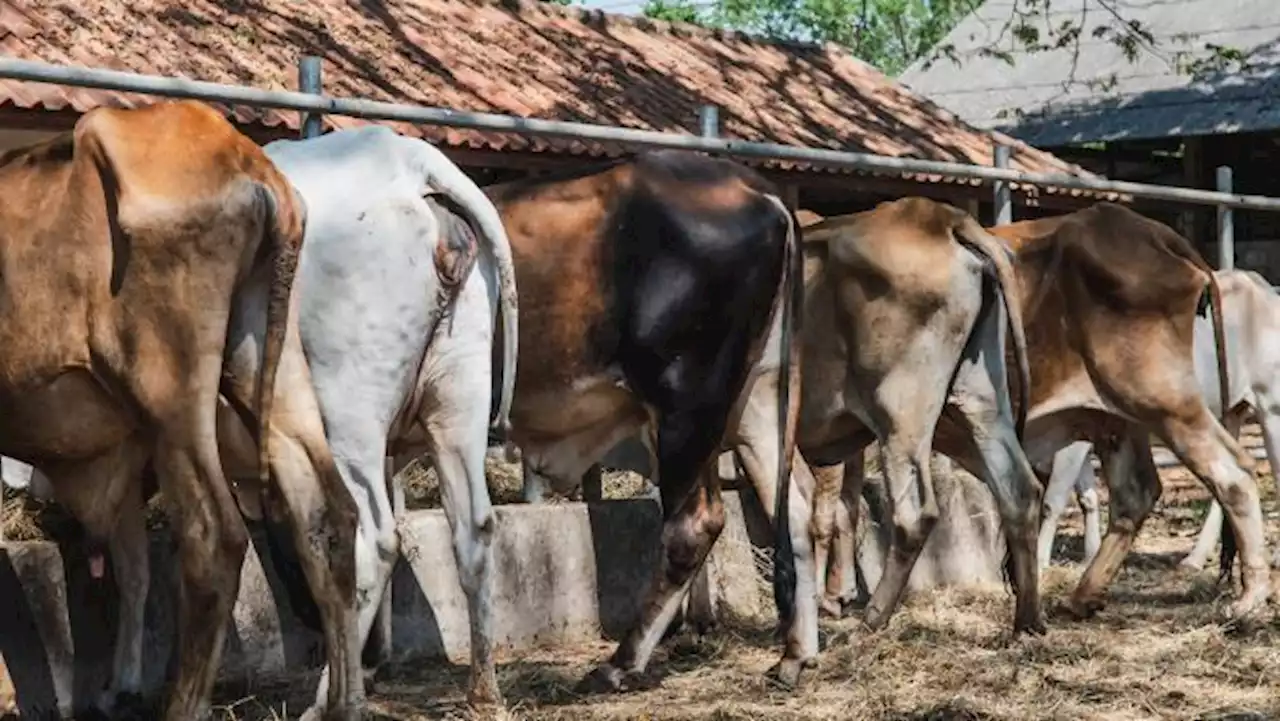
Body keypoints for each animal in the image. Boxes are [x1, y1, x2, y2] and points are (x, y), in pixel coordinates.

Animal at [0, 101, 366, 721]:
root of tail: (247, 163)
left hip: (169, 387)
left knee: (213, 537)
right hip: (271, 366)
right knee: (327, 513)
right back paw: (343, 704)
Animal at [483, 151, 803, 686]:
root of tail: (758, 189)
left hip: (686, 405)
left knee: (693, 524)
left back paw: (621, 663)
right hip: (757, 397)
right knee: (794, 508)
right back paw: (794, 655)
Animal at [1034, 268, 1280, 576]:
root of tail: (1261, 286)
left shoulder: (1073, 441)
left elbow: (1053, 500)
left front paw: (1040, 562)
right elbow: (1087, 496)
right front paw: (1090, 554)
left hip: (1270, 407)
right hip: (1228, 413)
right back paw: (1194, 559)